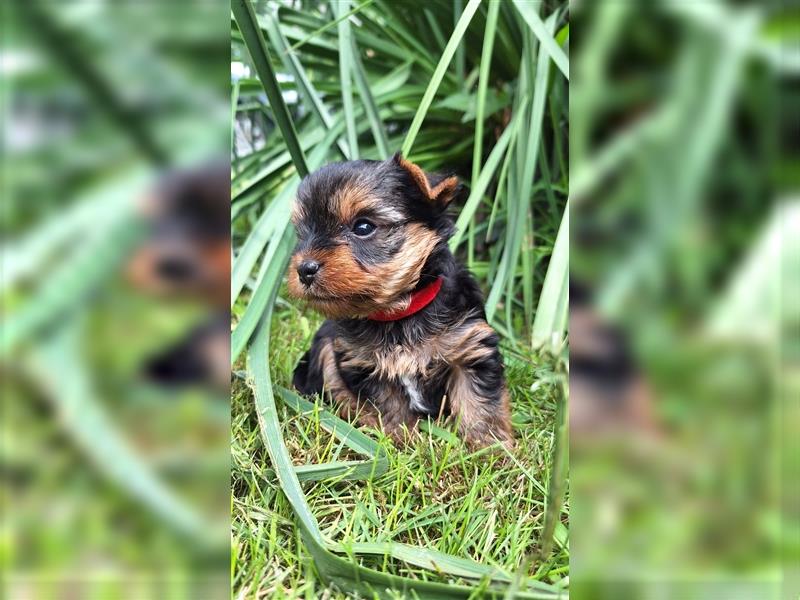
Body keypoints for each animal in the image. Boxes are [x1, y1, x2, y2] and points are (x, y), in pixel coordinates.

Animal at [288, 152, 512, 448]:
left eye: (363, 227)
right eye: (302, 233)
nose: (304, 268)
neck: (398, 313)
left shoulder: (470, 346)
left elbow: (478, 400)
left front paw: (489, 446)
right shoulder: (362, 362)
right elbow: (389, 402)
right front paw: (402, 439)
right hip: (326, 345)